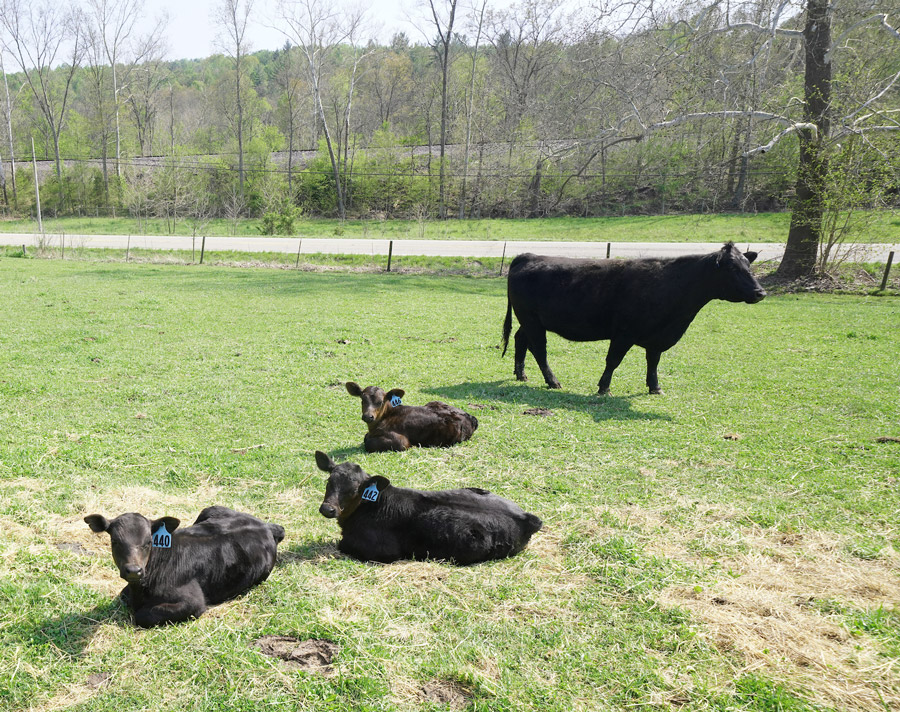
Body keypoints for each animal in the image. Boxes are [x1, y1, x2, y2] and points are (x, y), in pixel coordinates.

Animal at [85, 504, 284, 624]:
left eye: (149, 542)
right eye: (115, 542)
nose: (134, 570)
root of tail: (265, 526)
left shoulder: (193, 602)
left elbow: (142, 616)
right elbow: (123, 595)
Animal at [344, 382, 478, 454]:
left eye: (380, 402)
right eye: (362, 400)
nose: (368, 416)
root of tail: (471, 417)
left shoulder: (401, 442)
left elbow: (368, 442)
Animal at [502, 242, 764, 392]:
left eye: (748, 267)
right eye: (733, 269)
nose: (760, 292)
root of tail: (528, 255)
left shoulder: (658, 336)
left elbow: (653, 362)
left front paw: (655, 387)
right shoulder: (623, 333)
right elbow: (613, 361)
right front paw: (604, 388)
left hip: (530, 320)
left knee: (520, 340)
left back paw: (521, 374)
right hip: (531, 320)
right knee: (539, 349)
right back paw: (552, 381)